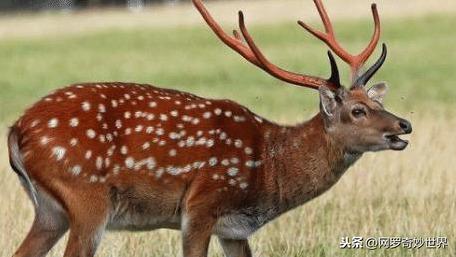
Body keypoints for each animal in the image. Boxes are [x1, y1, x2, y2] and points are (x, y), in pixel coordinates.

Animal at [7, 0, 414, 256]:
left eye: (378, 102)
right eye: (358, 110)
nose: (404, 124)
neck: (267, 169)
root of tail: (17, 128)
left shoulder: (234, 230)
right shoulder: (200, 207)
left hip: (50, 210)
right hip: (86, 196)